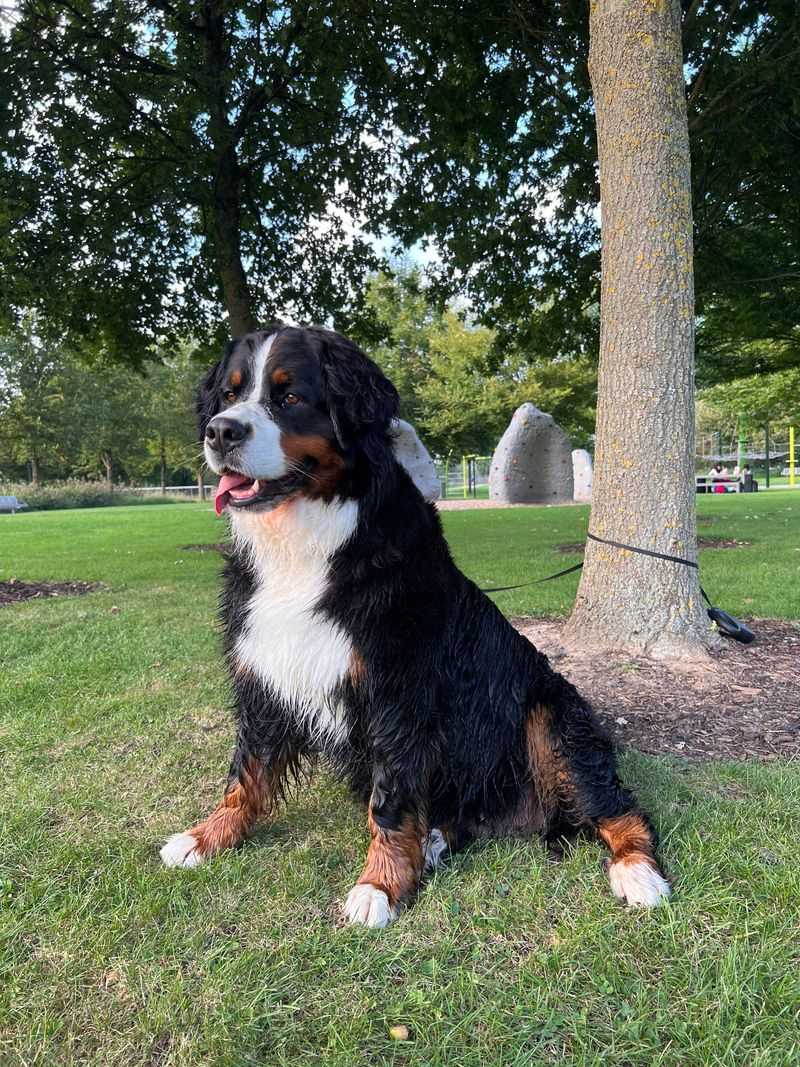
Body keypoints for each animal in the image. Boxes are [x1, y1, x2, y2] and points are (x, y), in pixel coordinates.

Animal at [160, 324, 674, 926]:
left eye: (289, 397)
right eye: (229, 394)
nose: (220, 432)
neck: (305, 544)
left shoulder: (396, 691)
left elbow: (392, 798)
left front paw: (379, 885)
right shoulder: (265, 672)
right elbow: (246, 773)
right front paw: (207, 836)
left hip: (556, 716)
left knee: (616, 804)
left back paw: (638, 870)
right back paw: (432, 841)